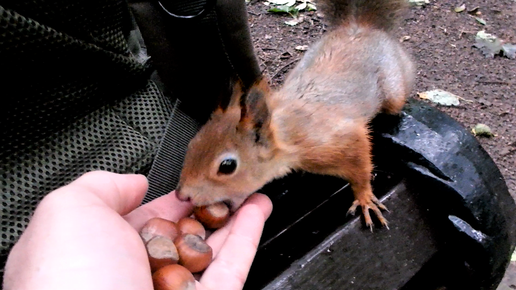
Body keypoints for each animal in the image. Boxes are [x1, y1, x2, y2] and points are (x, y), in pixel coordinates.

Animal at [176, 0, 416, 229]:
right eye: (191, 144)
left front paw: (365, 198)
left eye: (227, 166)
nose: (182, 195)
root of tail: (360, 27)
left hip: (393, 90)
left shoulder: (342, 139)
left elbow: (361, 170)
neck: (287, 134)